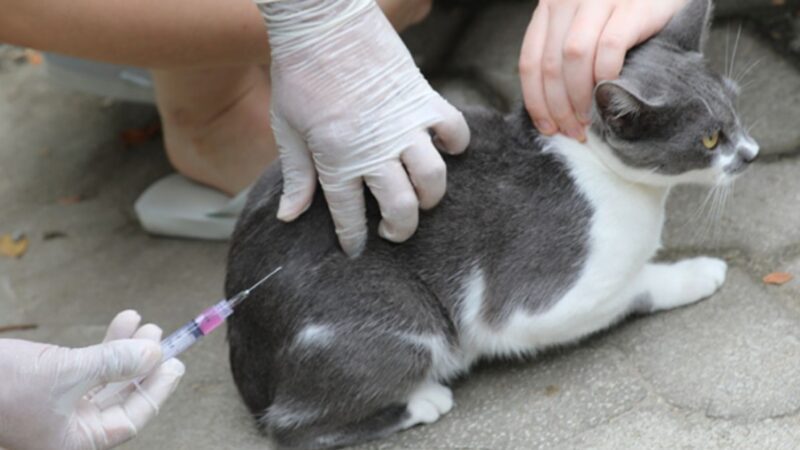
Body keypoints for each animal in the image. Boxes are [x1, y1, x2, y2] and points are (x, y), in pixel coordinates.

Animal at [223, 1, 756, 448]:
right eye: (710, 138)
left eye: (736, 108)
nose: (752, 153)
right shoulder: (539, 304)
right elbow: (637, 286)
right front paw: (698, 272)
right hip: (403, 325)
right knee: (292, 427)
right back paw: (423, 399)